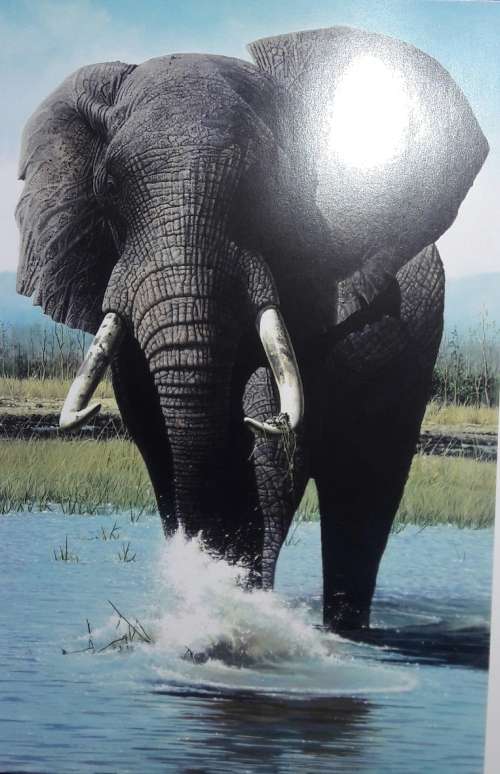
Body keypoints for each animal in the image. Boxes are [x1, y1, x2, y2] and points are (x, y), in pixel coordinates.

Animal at [16, 27, 488, 631]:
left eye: (267, 187)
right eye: (109, 186)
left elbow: (269, 438)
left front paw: (242, 610)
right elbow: (158, 440)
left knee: (364, 483)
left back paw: (343, 631)